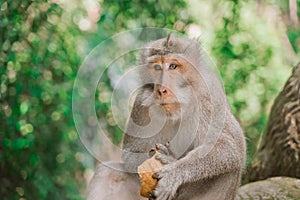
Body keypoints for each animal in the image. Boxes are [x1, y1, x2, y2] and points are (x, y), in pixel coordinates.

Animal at [87, 33, 246, 200]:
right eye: (157, 67)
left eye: (173, 66)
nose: (162, 89)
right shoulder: (141, 101)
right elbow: (131, 153)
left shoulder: (209, 92)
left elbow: (230, 146)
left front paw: (172, 169)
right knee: (107, 172)